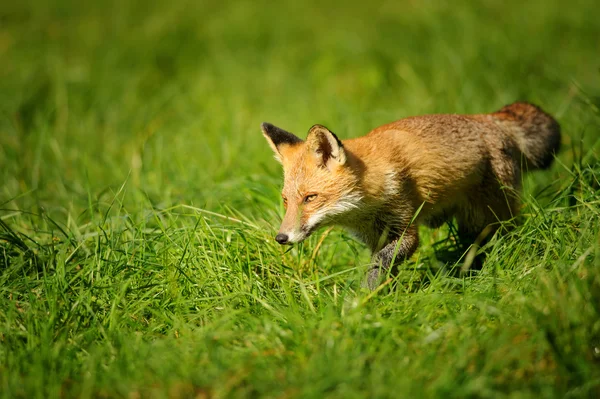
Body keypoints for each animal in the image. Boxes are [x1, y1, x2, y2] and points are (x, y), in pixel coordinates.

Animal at [260, 102, 560, 288]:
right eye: (286, 200)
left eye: (310, 198)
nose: (281, 238)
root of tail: (489, 118)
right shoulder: (376, 237)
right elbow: (383, 268)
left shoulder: (404, 228)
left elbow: (379, 264)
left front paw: (358, 301)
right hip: (472, 222)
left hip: (492, 215)